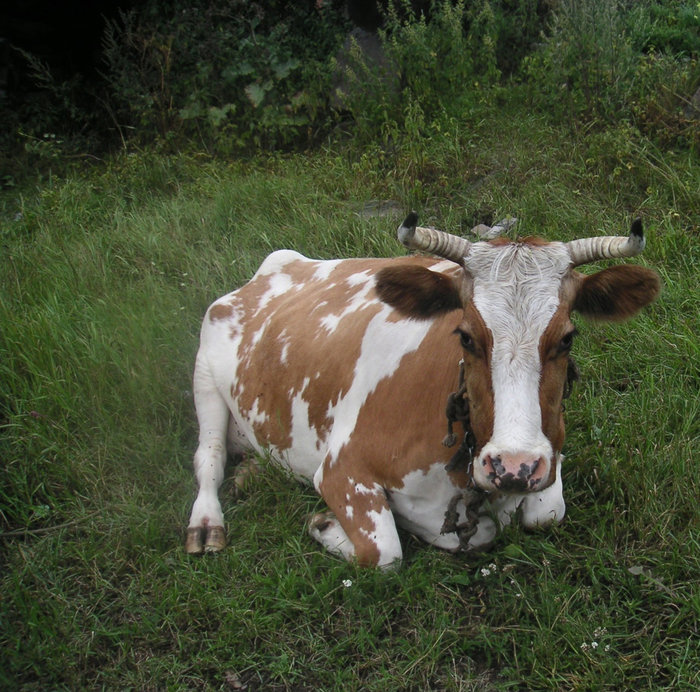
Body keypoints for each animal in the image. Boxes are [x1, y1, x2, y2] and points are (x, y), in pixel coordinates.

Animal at [185, 215, 656, 568]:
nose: (513, 466)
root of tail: (279, 263)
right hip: (204, 372)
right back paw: (206, 524)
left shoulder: (551, 454)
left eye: (567, 338)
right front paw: (323, 523)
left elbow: (548, 514)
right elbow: (384, 553)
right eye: (465, 336)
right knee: (208, 457)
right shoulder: (340, 469)